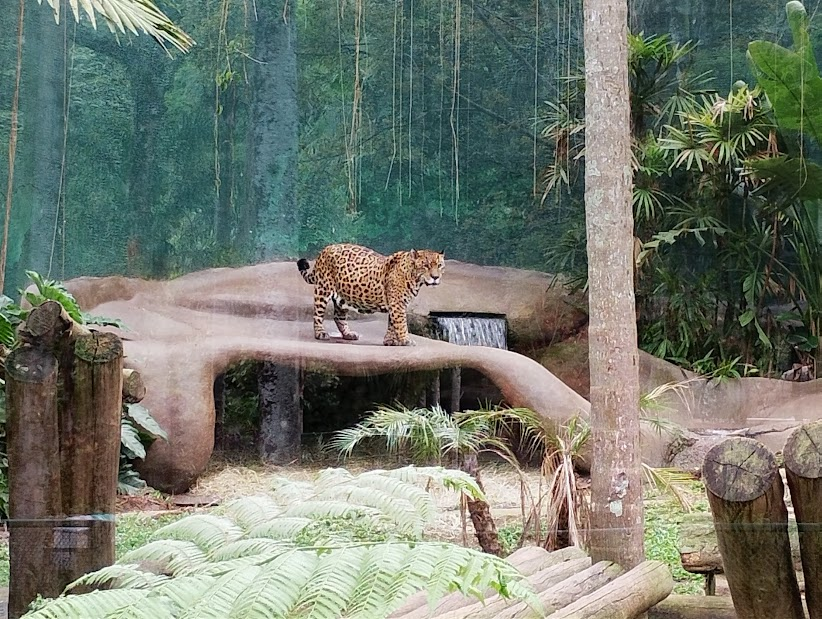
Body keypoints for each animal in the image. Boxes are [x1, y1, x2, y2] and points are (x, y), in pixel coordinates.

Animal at [297, 243, 445, 346]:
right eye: (425, 265)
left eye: (440, 265)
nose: (435, 277)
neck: (415, 279)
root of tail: (325, 249)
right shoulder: (398, 305)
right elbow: (401, 324)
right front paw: (406, 340)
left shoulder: (395, 305)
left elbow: (392, 324)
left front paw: (390, 341)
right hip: (323, 290)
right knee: (317, 314)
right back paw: (320, 333)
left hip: (343, 296)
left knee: (338, 317)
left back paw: (348, 334)